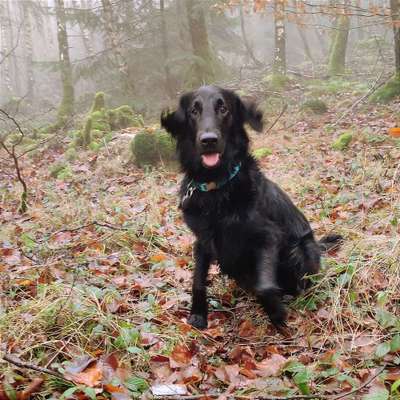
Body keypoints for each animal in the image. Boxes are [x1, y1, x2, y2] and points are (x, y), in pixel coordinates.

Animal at [160, 86, 340, 330]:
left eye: (223, 108)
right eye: (193, 111)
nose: (209, 140)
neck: (217, 187)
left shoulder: (267, 236)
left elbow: (264, 286)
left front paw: (276, 313)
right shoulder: (202, 240)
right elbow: (197, 280)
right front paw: (198, 314)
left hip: (300, 250)